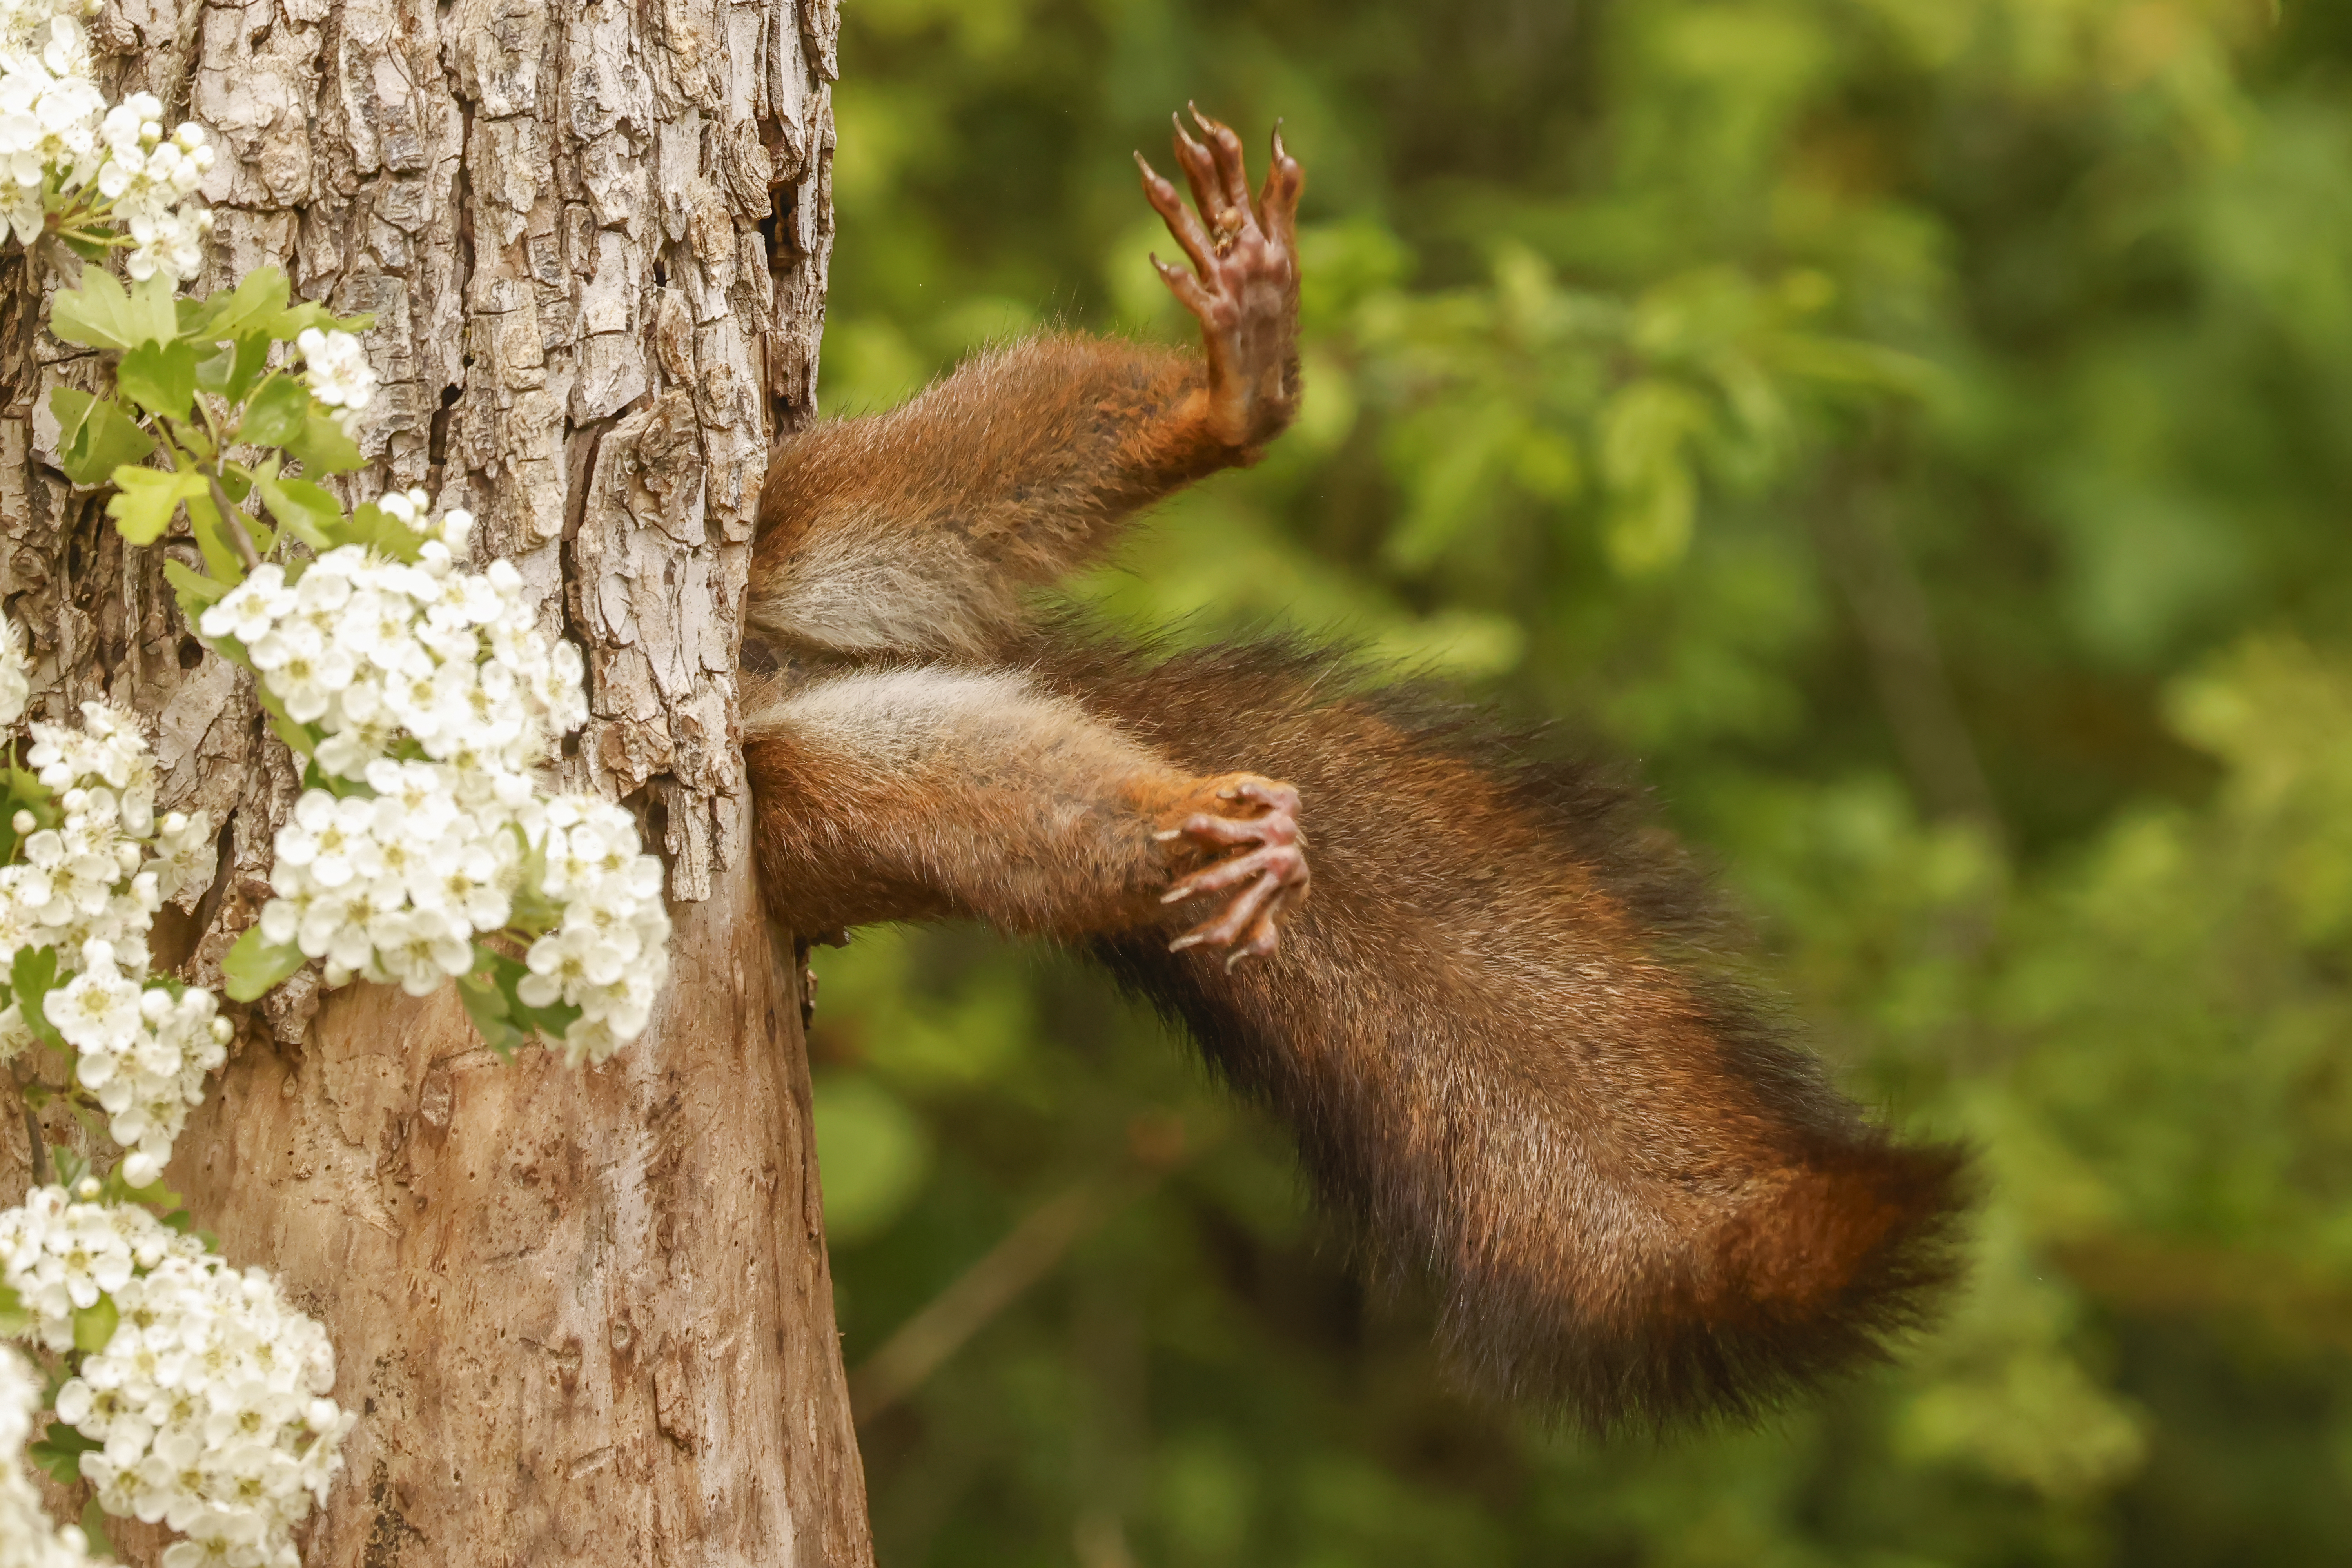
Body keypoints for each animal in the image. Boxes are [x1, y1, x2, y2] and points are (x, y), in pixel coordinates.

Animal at [739, 110, 1966, 1439]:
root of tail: (779, 670)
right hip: (814, 800)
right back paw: (1205, 828)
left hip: (803, 517)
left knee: (954, 472)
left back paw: (1234, 390)